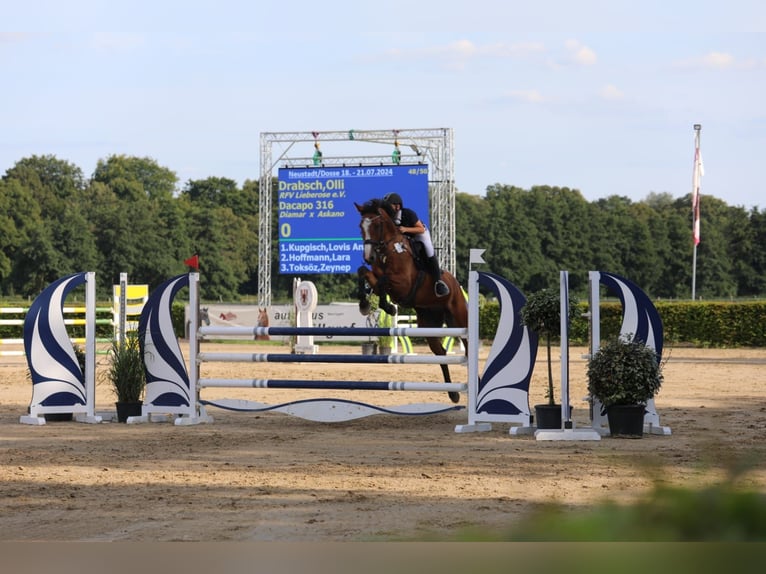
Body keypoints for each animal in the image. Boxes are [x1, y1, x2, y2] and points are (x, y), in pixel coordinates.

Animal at [354, 200, 468, 402]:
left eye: (376, 225)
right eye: (361, 227)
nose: (369, 257)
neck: (390, 249)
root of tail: (456, 284)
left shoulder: (403, 284)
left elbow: (383, 281)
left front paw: (387, 307)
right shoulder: (376, 274)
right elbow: (365, 273)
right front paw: (365, 303)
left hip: (459, 318)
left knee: (467, 347)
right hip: (428, 322)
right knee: (441, 353)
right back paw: (453, 394)